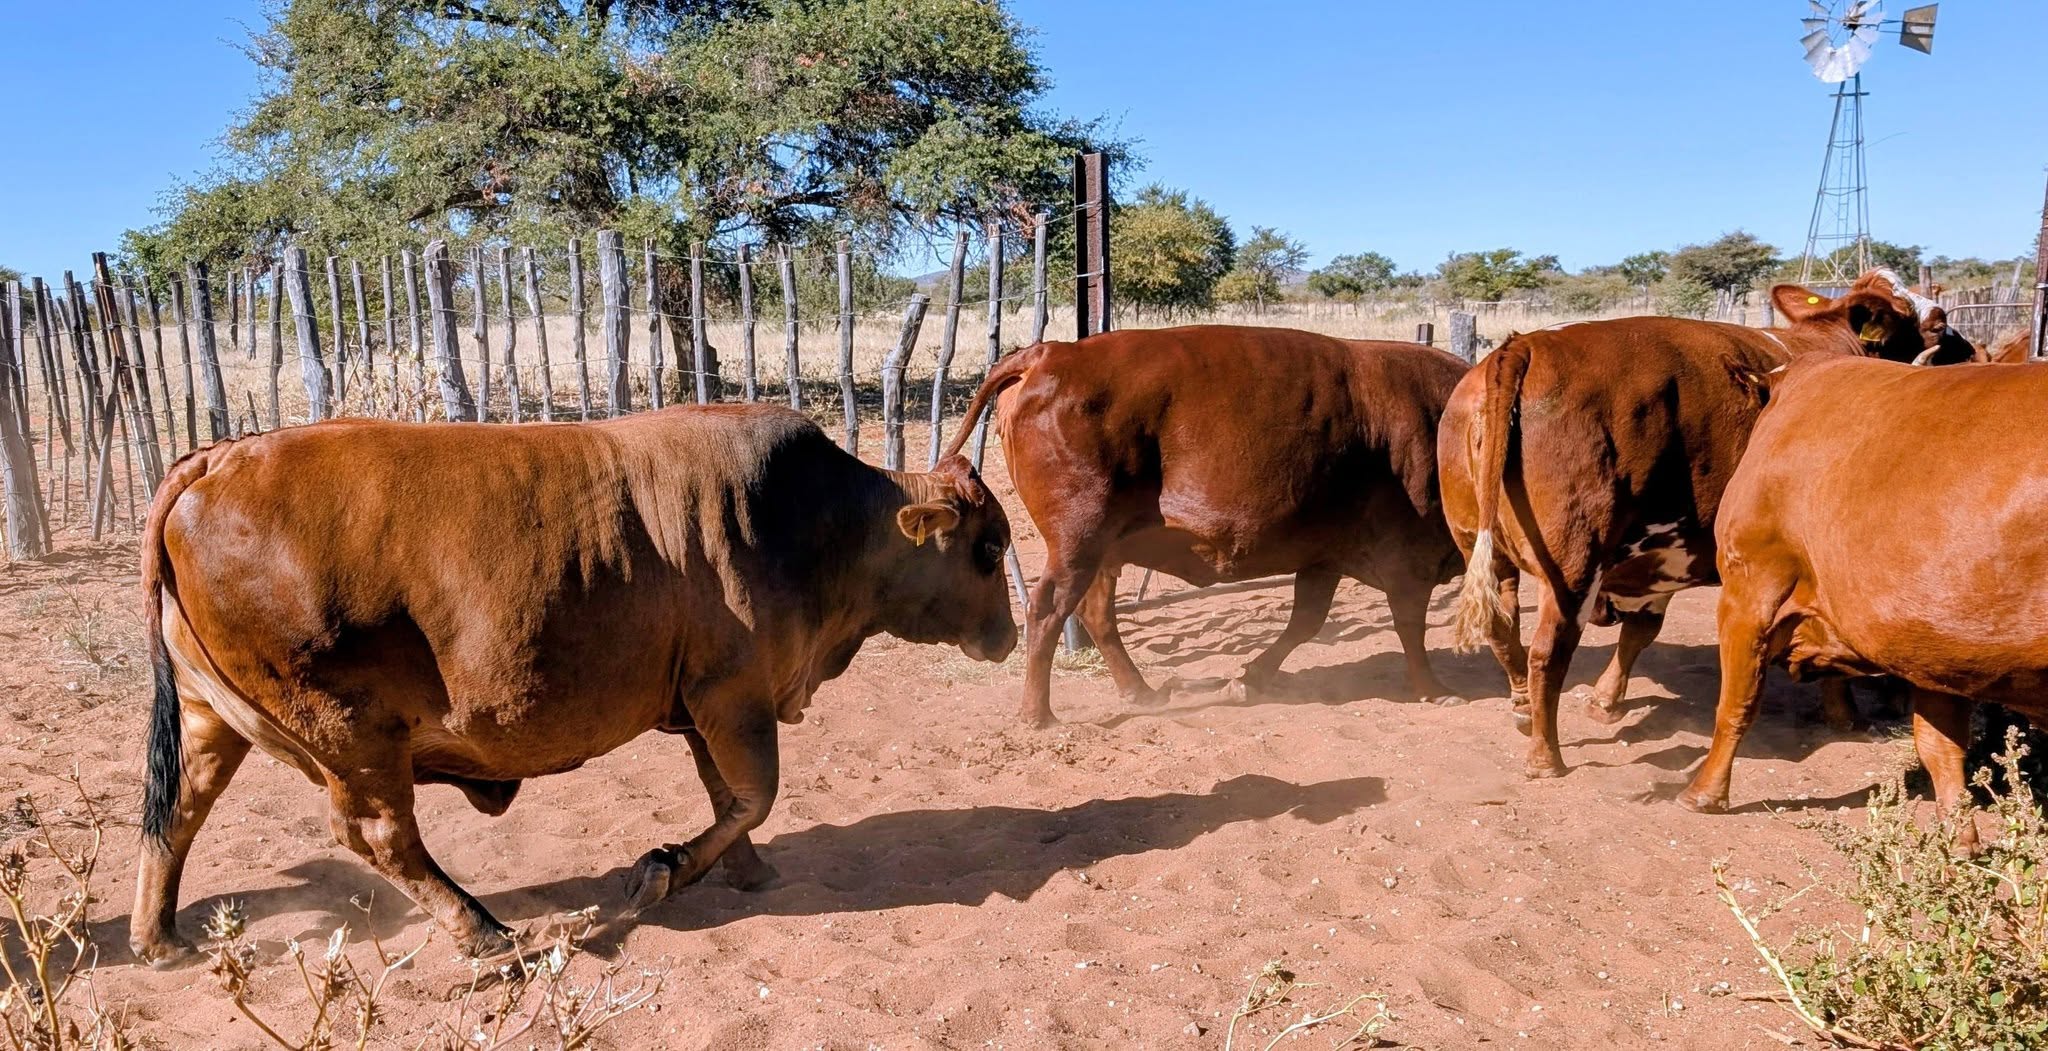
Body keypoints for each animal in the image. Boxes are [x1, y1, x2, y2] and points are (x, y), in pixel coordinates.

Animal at [131, 405, 1017, 966]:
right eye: (986, 548)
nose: (1008, 637)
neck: (818, 521)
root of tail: (218, 456)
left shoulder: (705, 707)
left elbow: (732, 800)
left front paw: (745, 870)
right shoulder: (733, 696)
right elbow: (754, 794)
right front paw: (664, 868)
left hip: (213, 717)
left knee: (177, 813)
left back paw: (160, 940)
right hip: (352, 735)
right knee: (378, 835)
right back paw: (483, 932)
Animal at [945, 325, 1470, 728]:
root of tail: (1053, 351)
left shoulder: (1323, 555)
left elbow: (1306, 621)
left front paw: (1249, 680)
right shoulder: (1410, 557)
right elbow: (1409, 626)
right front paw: (1434, 687)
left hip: (1102, 549)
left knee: (1095, 613)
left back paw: (1139, 691)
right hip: (1079, 541)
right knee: (1047, 610)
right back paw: (1039, 715)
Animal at [1437, 270, 1950, 781]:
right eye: (1939, 323)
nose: (1957, 349)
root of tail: (1525, 345)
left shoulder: (1660, 561)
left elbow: (1640, 632)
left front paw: (1606, 700)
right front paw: (1845, 715)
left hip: (1481, 544)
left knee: (1503, 627)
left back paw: (1523, 705)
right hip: (1575, 567)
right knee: (1548, 651)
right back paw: (1546, 756)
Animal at [1680, 354, 2048, 847]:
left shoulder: (1749, 587)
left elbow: (1734, 705)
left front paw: (1703, 794)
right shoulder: (1934, 643)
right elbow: (1940, 744)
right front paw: (1960, 842)